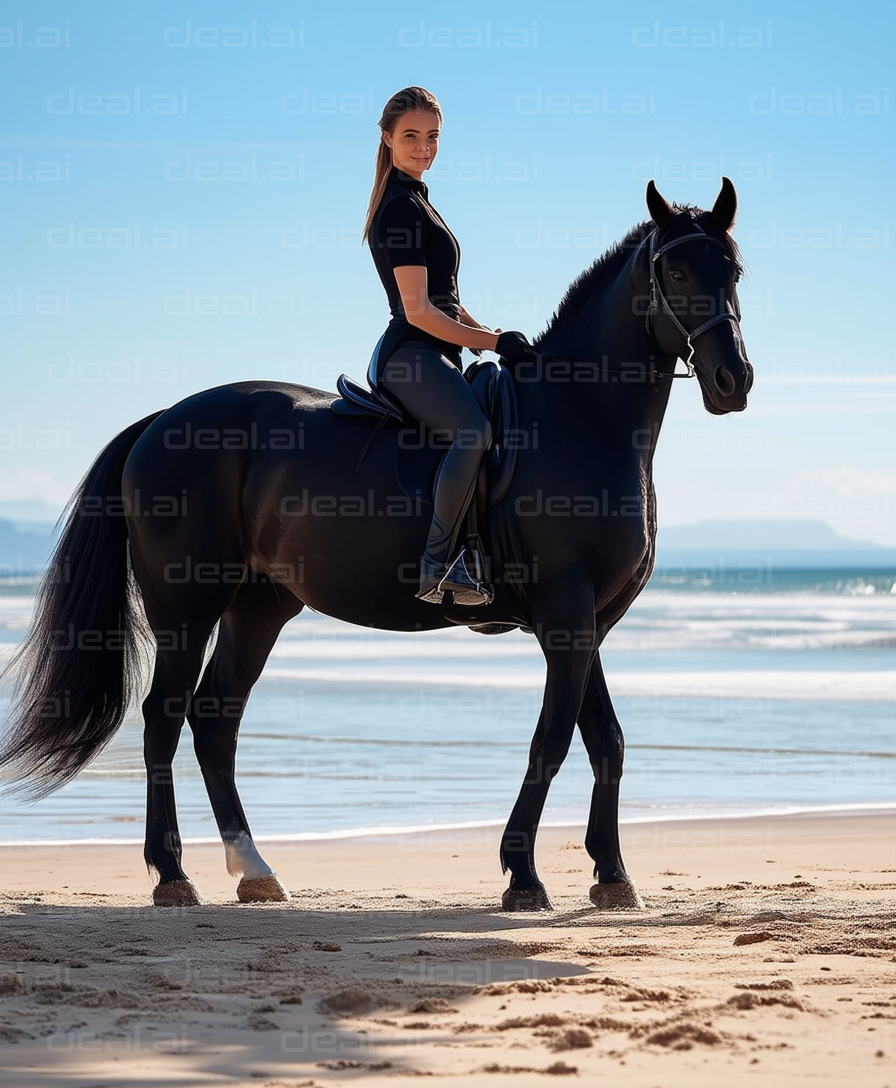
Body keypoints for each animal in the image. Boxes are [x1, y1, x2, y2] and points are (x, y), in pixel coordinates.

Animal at [3, 180, 752, 909]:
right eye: (676, 270)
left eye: (733, 269)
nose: (733, 382)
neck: (581, 418)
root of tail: (162, 421)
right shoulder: (565, 613)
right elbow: (553, 740)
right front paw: (522, 876)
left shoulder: (587, 620)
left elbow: (607, 741)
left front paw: (612, 874)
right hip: (185, 604)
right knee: (163, 718)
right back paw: (172, 875)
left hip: (258, 607)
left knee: (217, 721)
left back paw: (255, 871)